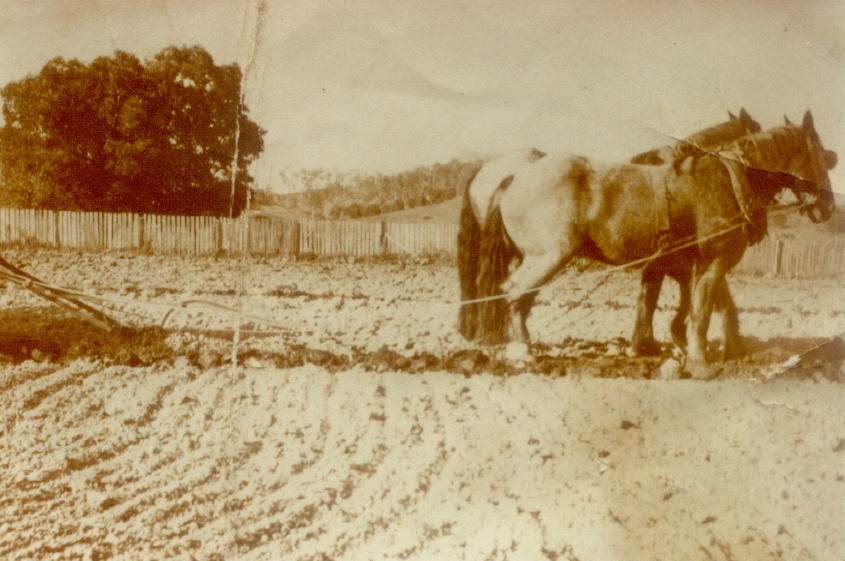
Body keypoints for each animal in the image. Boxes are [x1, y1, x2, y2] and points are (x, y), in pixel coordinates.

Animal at [460, 110, 835, 371]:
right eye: (822, 156)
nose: (829, 206)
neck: (730, 180)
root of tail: (513, 175)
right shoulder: (711, 259)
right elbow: (701, 308)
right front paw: (698, 358)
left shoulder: (687, 262)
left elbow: (702, 304)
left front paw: (721, 348)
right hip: (548, 256)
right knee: (513, 292)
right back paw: (521, 350)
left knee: (515, 296)